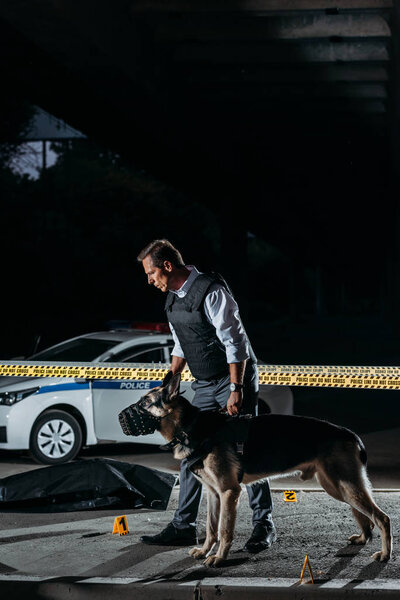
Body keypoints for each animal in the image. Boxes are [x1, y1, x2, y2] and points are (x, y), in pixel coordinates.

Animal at [119, 372, 390, 564]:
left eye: (144, 403)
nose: (120, 417)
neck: (190, 426)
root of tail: (350, 433)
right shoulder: (214, 494)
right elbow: (211, 528)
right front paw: (206, 551)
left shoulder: (229, 492)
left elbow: (225, 529)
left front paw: (219, 558)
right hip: (338, 487)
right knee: (366, 516)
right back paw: (364, 538)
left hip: (345, 486)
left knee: (381, 517)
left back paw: (384, 554)